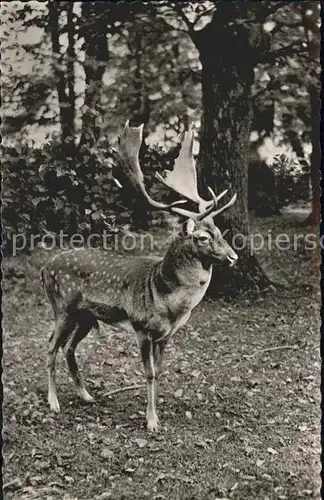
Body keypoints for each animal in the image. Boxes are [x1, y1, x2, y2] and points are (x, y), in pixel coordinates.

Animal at [41, 120, 238, 430]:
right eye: (203, 238)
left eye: (219, 231)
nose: (233, 257)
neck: (167, 301)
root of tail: (44, 268)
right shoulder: (141, 327)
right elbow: (149, 373)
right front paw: (151, 421)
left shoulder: (166, 334)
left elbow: (161, 370)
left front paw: (159, 409)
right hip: (63, 306)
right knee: (50, 347)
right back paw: (54, 402)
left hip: (86, 315)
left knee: (68, 348)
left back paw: (86, 395)